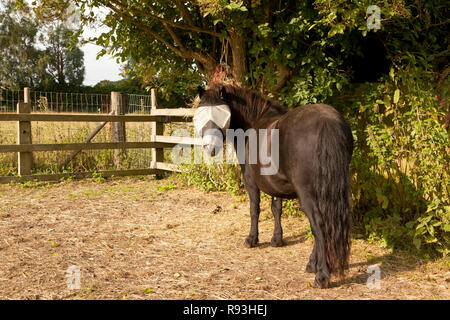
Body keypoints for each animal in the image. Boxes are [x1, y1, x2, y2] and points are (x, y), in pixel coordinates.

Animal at [194, 84, 356, 288]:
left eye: (222, 114)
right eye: (200, 114)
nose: (210, 147)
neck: (253, 123)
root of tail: (327, 122)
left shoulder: (250, 180)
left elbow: (254, 209)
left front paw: (252, 239)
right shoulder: (276, 183)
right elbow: (276, 208)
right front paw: (277, 239)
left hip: (308, 194)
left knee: (318, 225)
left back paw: (321, 275)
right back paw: (313, 264)